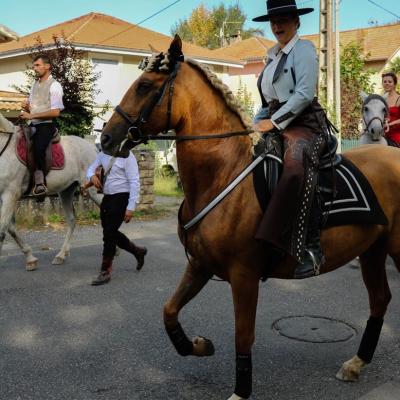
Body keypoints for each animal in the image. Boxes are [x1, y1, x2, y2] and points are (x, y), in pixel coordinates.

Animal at [0, 111, 100, 270]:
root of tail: (92, 147)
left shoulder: (10, 195)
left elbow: (3, 231)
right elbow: (11, 228)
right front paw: (30, 258)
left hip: (93, 190)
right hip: (66, 191)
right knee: (72, 220)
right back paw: (61, 255)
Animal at [100, 36, 400, 398]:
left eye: (144, 86)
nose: (106, 138)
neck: (224, 171)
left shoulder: (244, 275)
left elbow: (243, 335)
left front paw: (240, 390)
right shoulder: (200, 265)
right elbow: (169, 311)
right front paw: (198, 345)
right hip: (372, 251)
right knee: (380, 299)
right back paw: (356, 363)